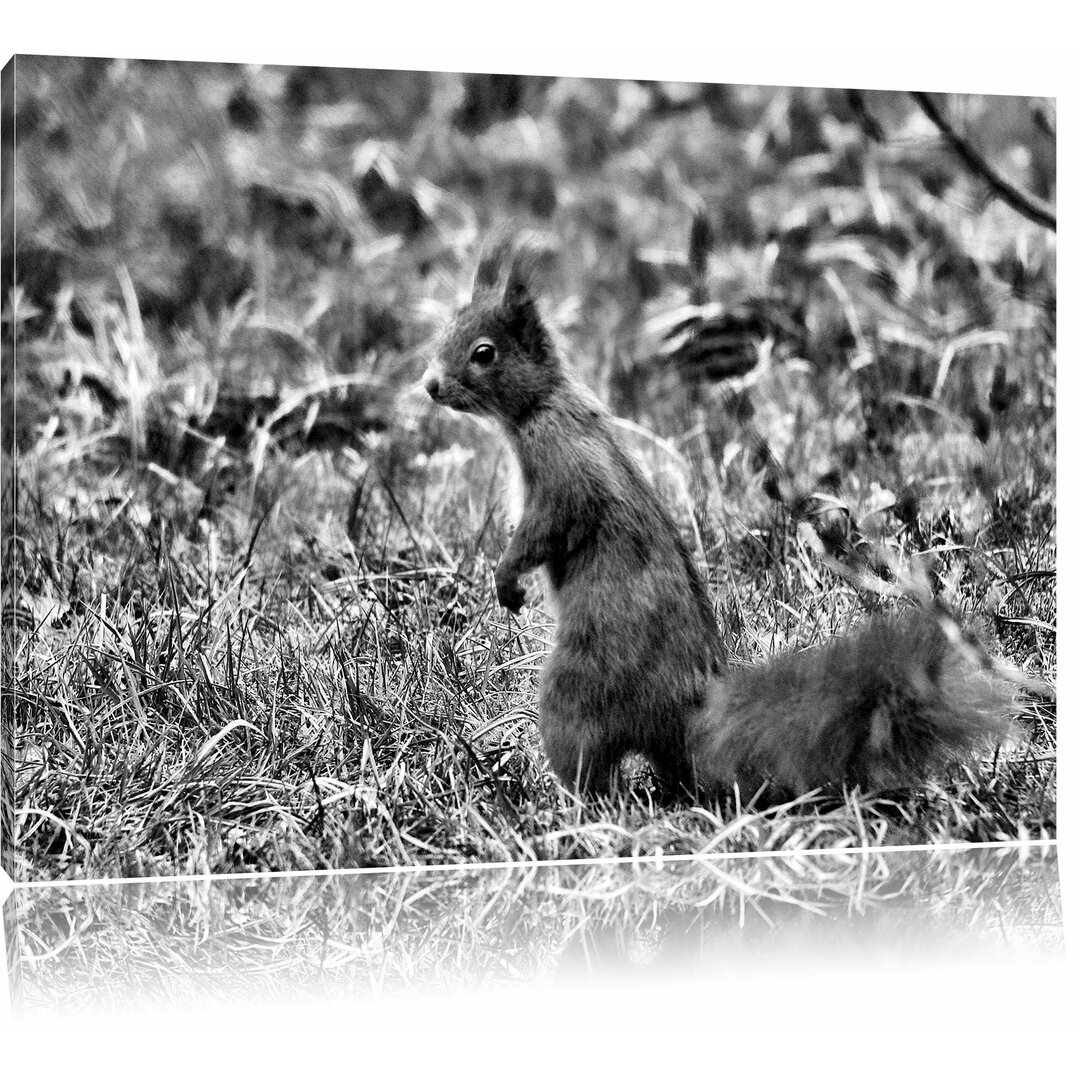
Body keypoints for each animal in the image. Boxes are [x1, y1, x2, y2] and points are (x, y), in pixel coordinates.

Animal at [419, 230, 1010, 803]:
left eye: (484, 353)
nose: (429, 385)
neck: (539, 407)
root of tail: (684, 712)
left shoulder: (562, 473)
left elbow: (543, 530)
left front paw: (506, 579)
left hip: (577, 692)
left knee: (591, 767)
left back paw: (566, 803)